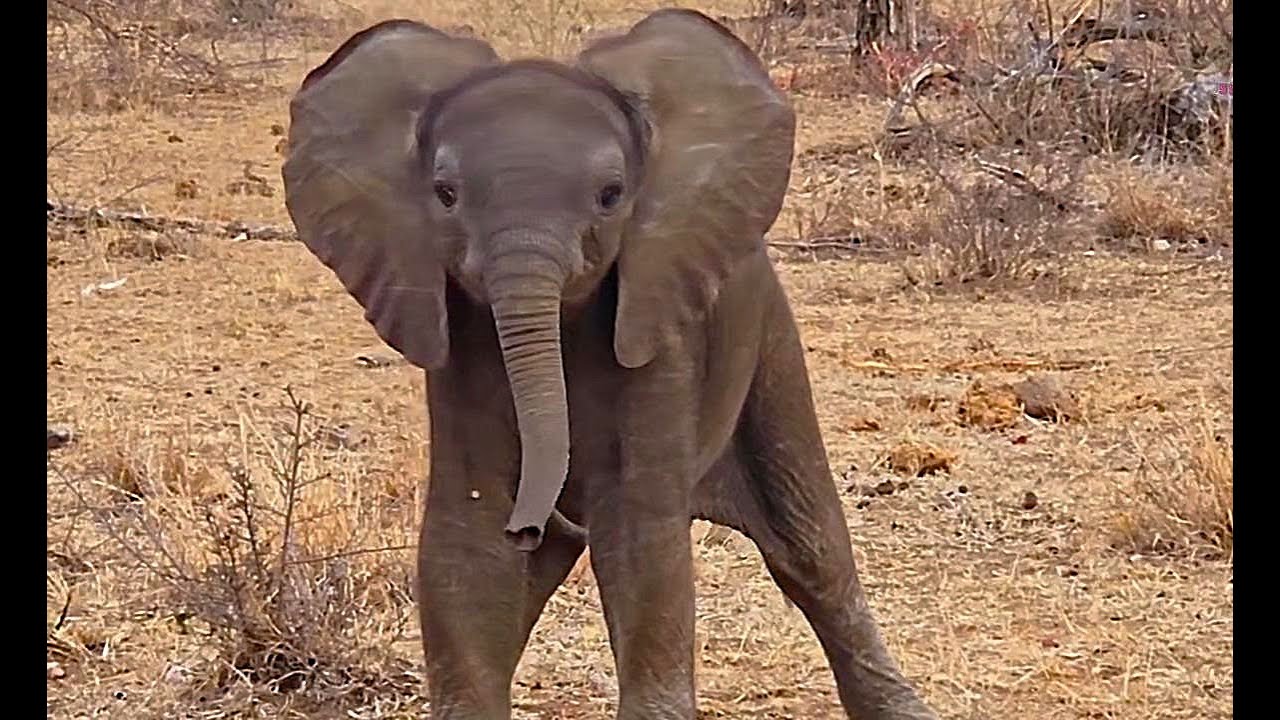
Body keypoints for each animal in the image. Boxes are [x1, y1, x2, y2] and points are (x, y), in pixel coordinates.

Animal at [281, 9, 938, 720]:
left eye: (611, 194)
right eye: (445, 195)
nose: (528, 526)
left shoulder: (658, 323)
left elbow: (641, 537)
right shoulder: (461, 337)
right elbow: (469, 538)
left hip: (770, 345)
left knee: (811, 551)